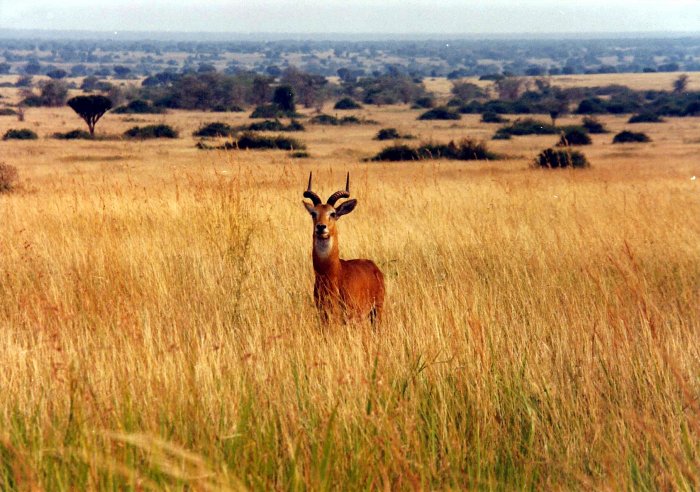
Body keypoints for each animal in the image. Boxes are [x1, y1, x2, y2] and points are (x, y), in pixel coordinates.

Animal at [304, 171, 386, 324]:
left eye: (333, 213)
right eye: (313, 213)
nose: (321, 227)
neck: (333, 273)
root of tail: (373, 266)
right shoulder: (323, 315)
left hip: (376, 311)